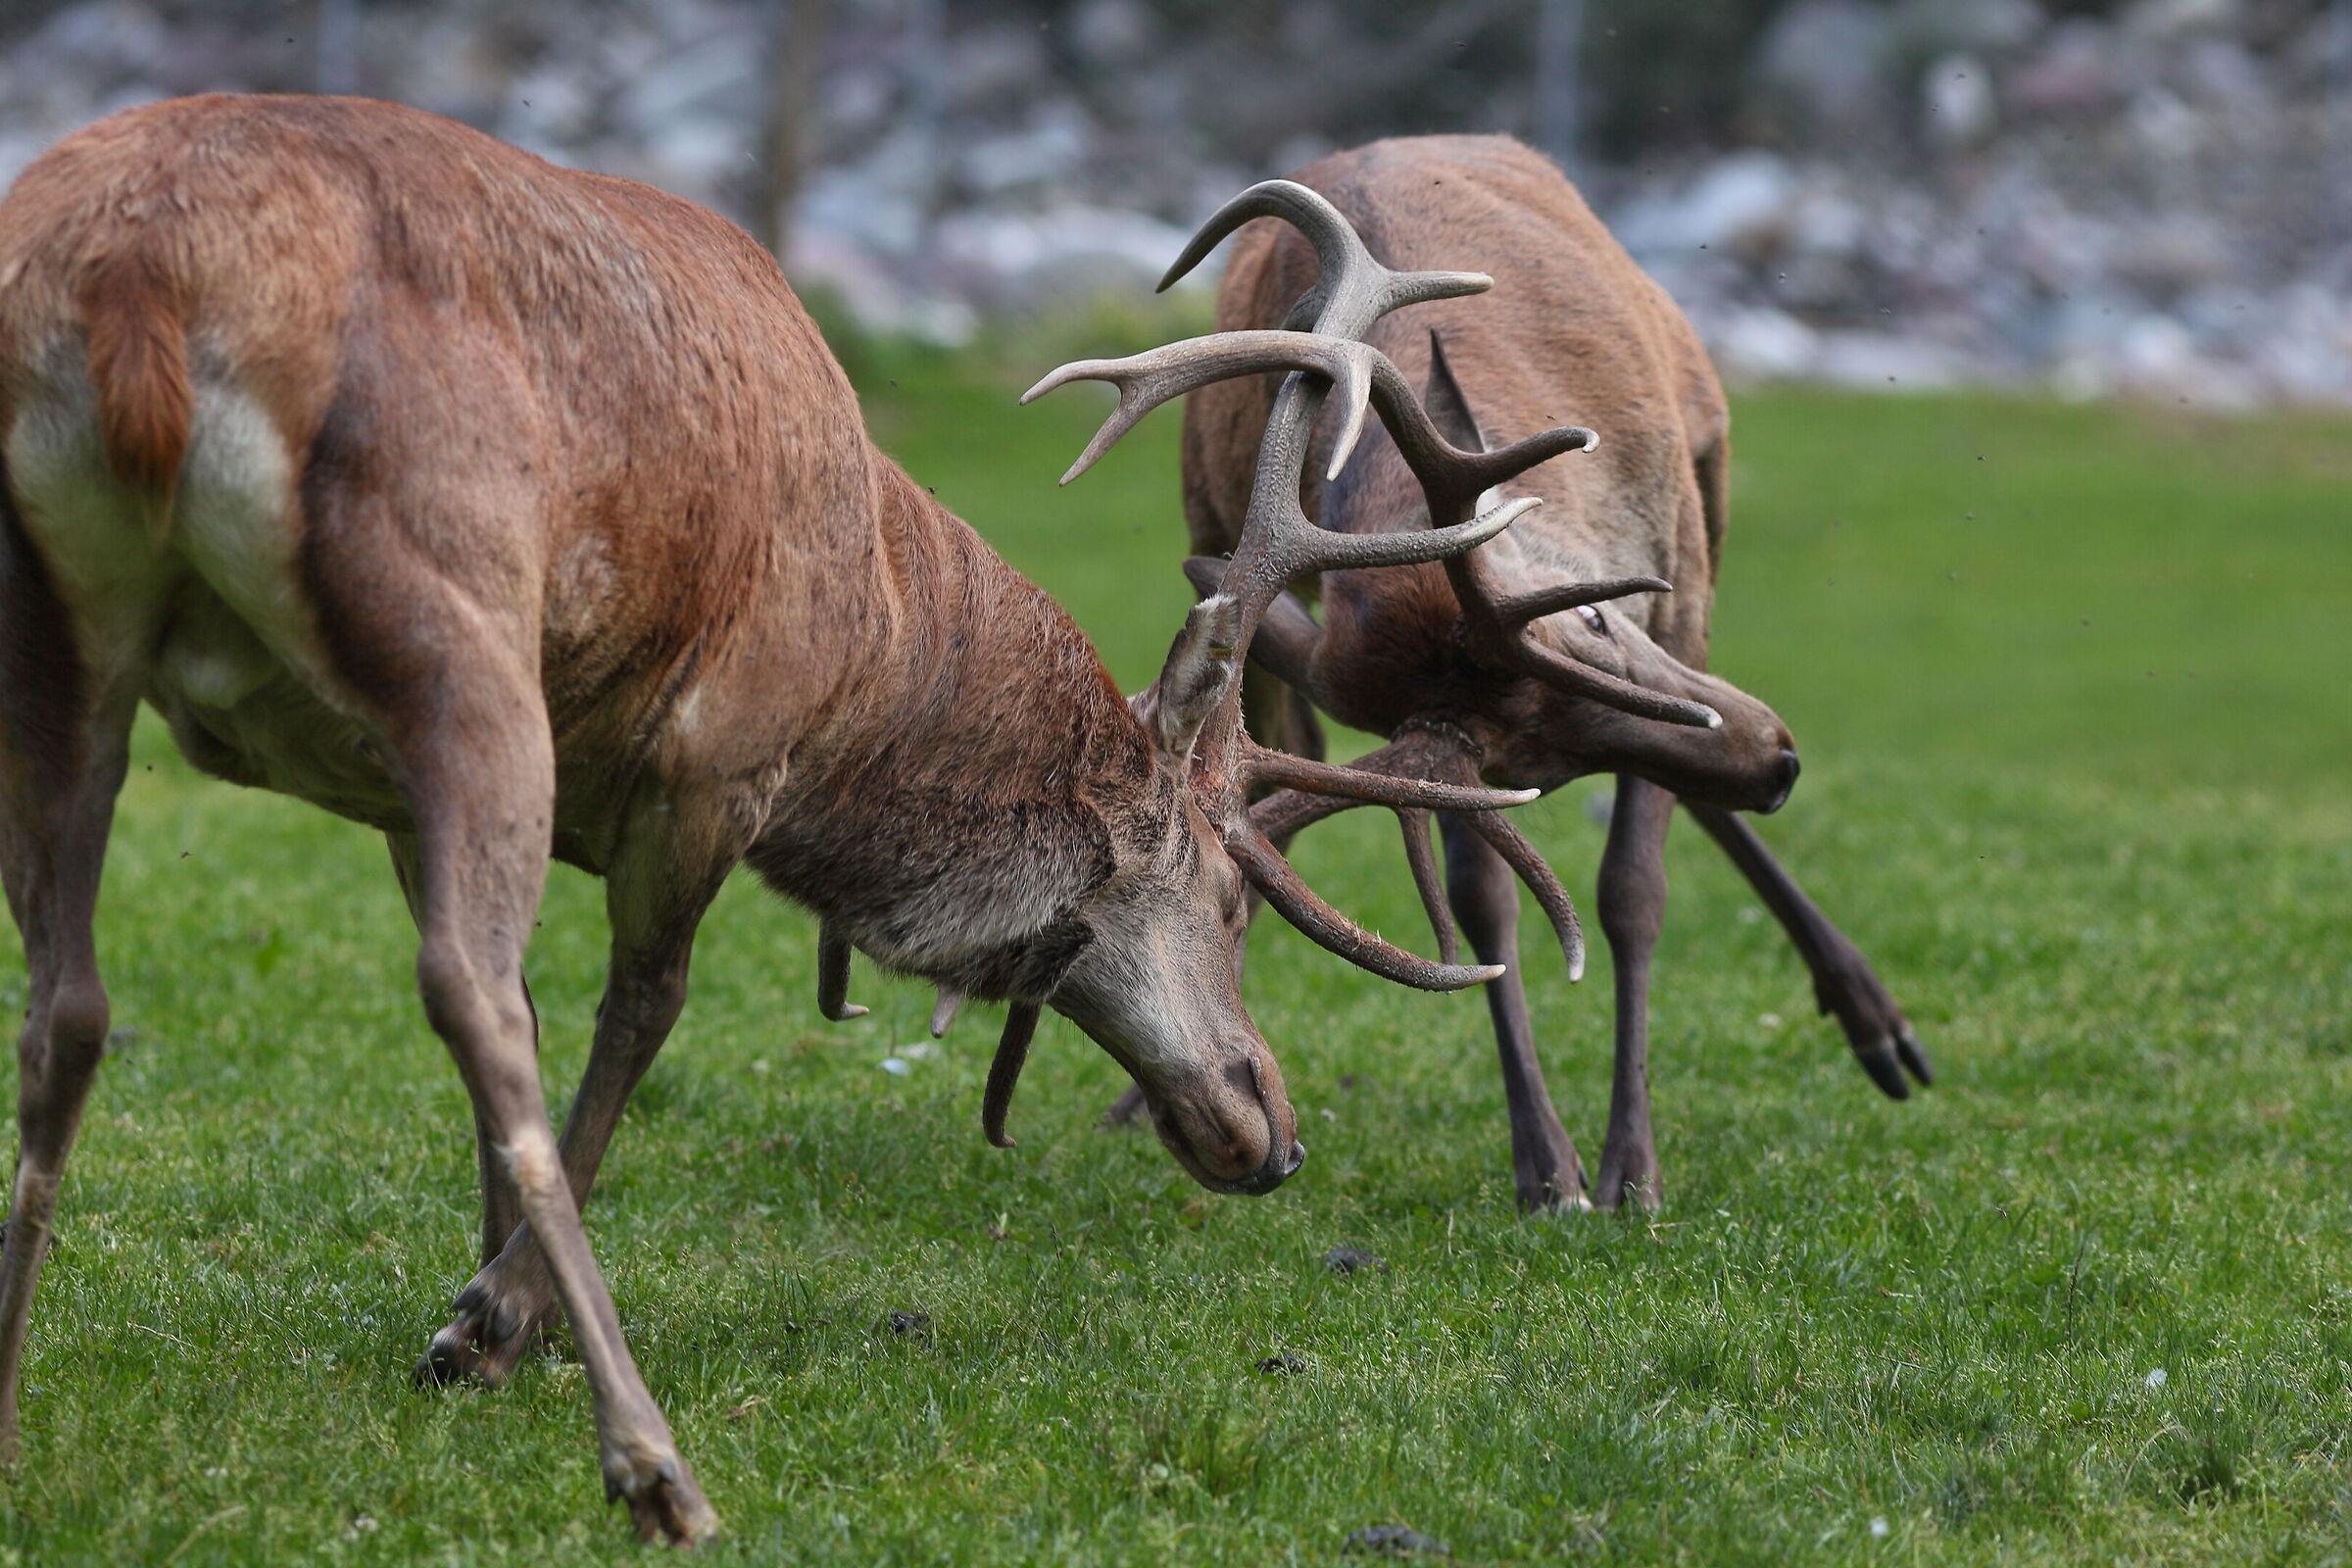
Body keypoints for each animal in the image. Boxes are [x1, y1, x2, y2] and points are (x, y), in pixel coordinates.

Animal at [0, 98, 1593, 1543]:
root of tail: (136, 291)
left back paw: (16, 1397)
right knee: (461, 990)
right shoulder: (716, 758)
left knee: (72, 1000)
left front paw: (494, 1301)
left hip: (68, 640)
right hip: (449, 608)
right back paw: (655, 1466)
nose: (1271, 1127)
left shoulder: (399, 792)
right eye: (1227, 892)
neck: (878, 642)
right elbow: (631, 1011)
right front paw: (496, 1320)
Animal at [1089, 136, 1933, 1214]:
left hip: (1711, 468)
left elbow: (1634, 888)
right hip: (1213, 521)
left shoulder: (1682, 577)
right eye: (1537, 762)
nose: (1779, 760)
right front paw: (1551, 1166)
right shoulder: (1447, 748)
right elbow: (1486, 903)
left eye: (1597, 612)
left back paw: (1880, 1021)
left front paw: (1633, 1166)